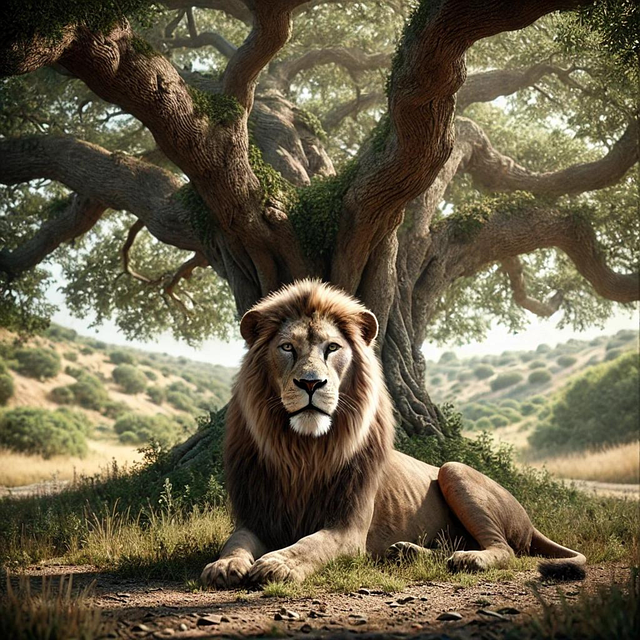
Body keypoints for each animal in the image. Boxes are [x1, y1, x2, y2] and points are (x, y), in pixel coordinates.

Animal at [201, 280, 586, 588]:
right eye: (287, 348)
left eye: (332, 348)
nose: (311, 383)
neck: (303, 450)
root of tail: (529, 522)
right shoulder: (256, 517)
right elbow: (235, 542)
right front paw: (224, 565)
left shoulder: (348, 529)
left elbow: (312, 544)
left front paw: (278, 563)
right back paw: (407, 552)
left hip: (454, 470)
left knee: (505, 549)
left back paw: (469, 559)